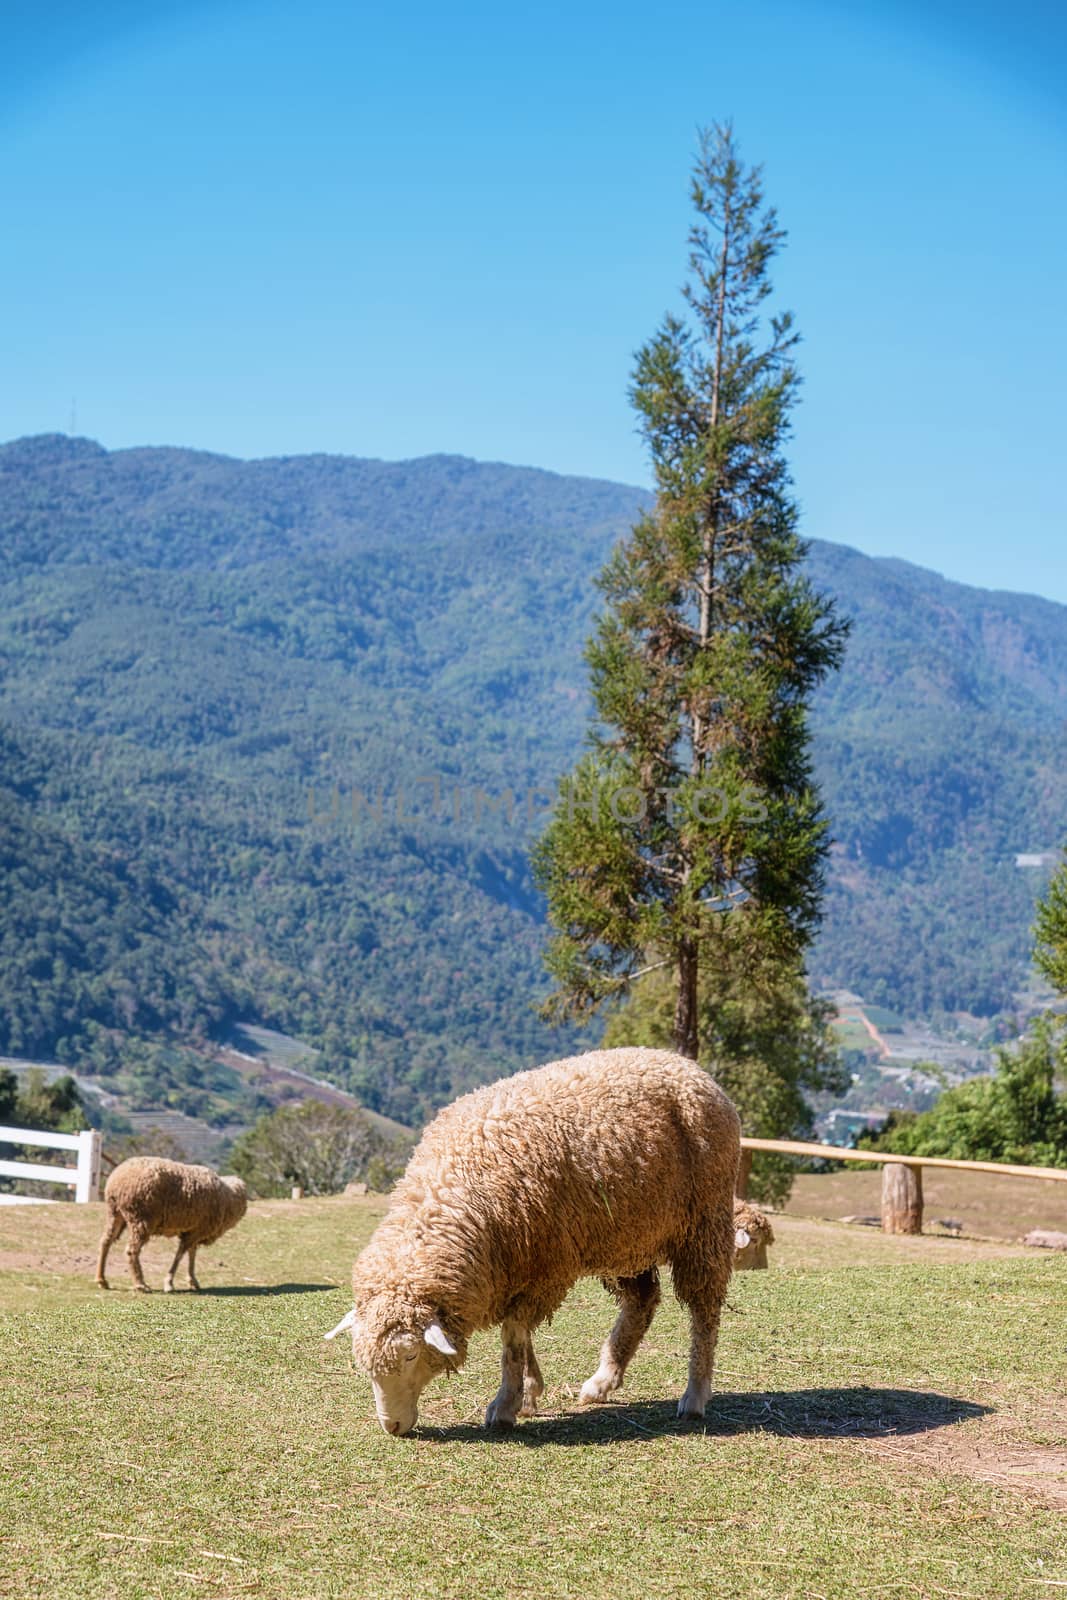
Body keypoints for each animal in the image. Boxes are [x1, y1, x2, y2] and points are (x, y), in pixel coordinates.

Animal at [93, 1158, 247, 1292]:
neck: (227, 1196)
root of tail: (116, 1182)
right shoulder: (196, 1231)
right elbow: (180, 1255)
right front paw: (169, 1282)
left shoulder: (193, 1230)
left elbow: (191, 1253)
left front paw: (192, 1280)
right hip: (141, 1219)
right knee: (131, 1250)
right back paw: (140, 1284)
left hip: (115, 1214)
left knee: (105, 1241)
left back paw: (102, 1280)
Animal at [326, 1049, 742, 1440]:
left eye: (411, 1355)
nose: (392, 1426)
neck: (456, 1188)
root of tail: (687, 1066)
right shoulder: (517, 1266)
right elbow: (521, 1336)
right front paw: (529, 1391)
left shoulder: (544, 1269)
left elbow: (513, 1338)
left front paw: (506, 1404)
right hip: (629, 1235)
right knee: (642, 1301)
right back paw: (602, 1381)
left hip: (704, 1220)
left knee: (704, 1309)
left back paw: (695, 1395)